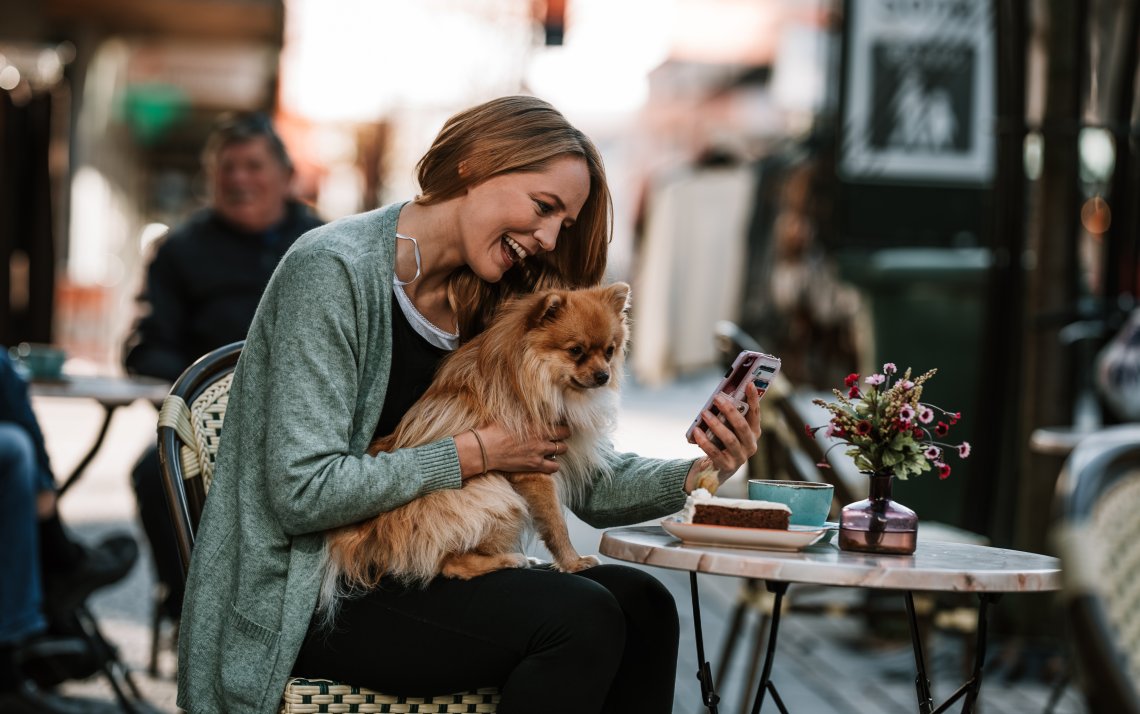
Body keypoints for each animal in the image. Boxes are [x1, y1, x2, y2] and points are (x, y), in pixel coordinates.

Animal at [321, 280, 633, 606]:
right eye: (576, 351)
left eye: (609, 351)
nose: (603, 375)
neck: (538, 378)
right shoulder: (535, 470)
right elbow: (556, 524)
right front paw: (573, 563)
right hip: (495, 495)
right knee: (449, 564)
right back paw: (508, 559)